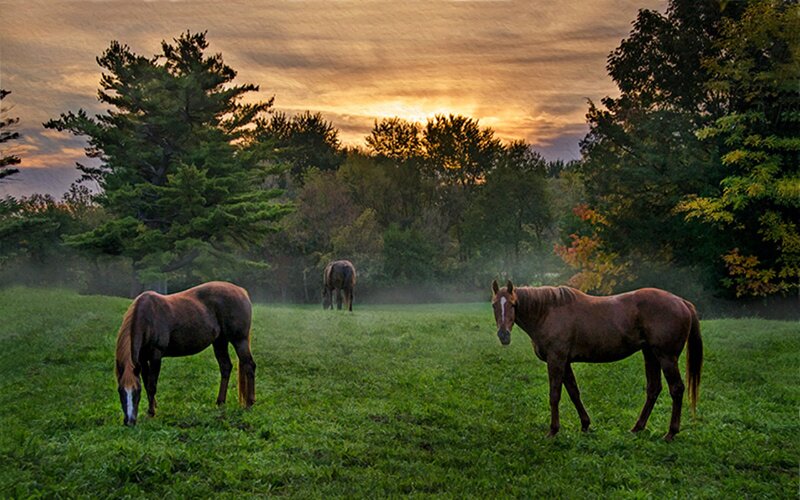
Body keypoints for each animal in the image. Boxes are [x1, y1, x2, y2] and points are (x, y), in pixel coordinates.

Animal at [114, 281, 256, 426]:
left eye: (137, 391)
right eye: (120, 391)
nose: (129, 421)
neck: (148, 317)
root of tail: (241, 291)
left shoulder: (156, 356)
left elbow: (152, 385)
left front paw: (151, 413)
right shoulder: (142, 359)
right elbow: (147, 382)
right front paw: (153, 407)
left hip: (239, 340)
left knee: (249, 365)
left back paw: (249, 404)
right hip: (220, 341)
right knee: (226, 367)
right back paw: (220, 402)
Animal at [491, 280, 702, 441]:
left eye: (513, 304)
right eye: (494, 305)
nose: (503, 335)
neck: (548, 312)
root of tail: (682, 302)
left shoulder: (556, 359)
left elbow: (554, 395)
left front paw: (553, 430)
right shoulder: (565, 362)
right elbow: (574, 392)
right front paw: (585, 425)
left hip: (666, 357)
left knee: (676, 389)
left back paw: (670, 433)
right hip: (650, 354)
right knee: (653, 389)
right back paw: (637, 428)